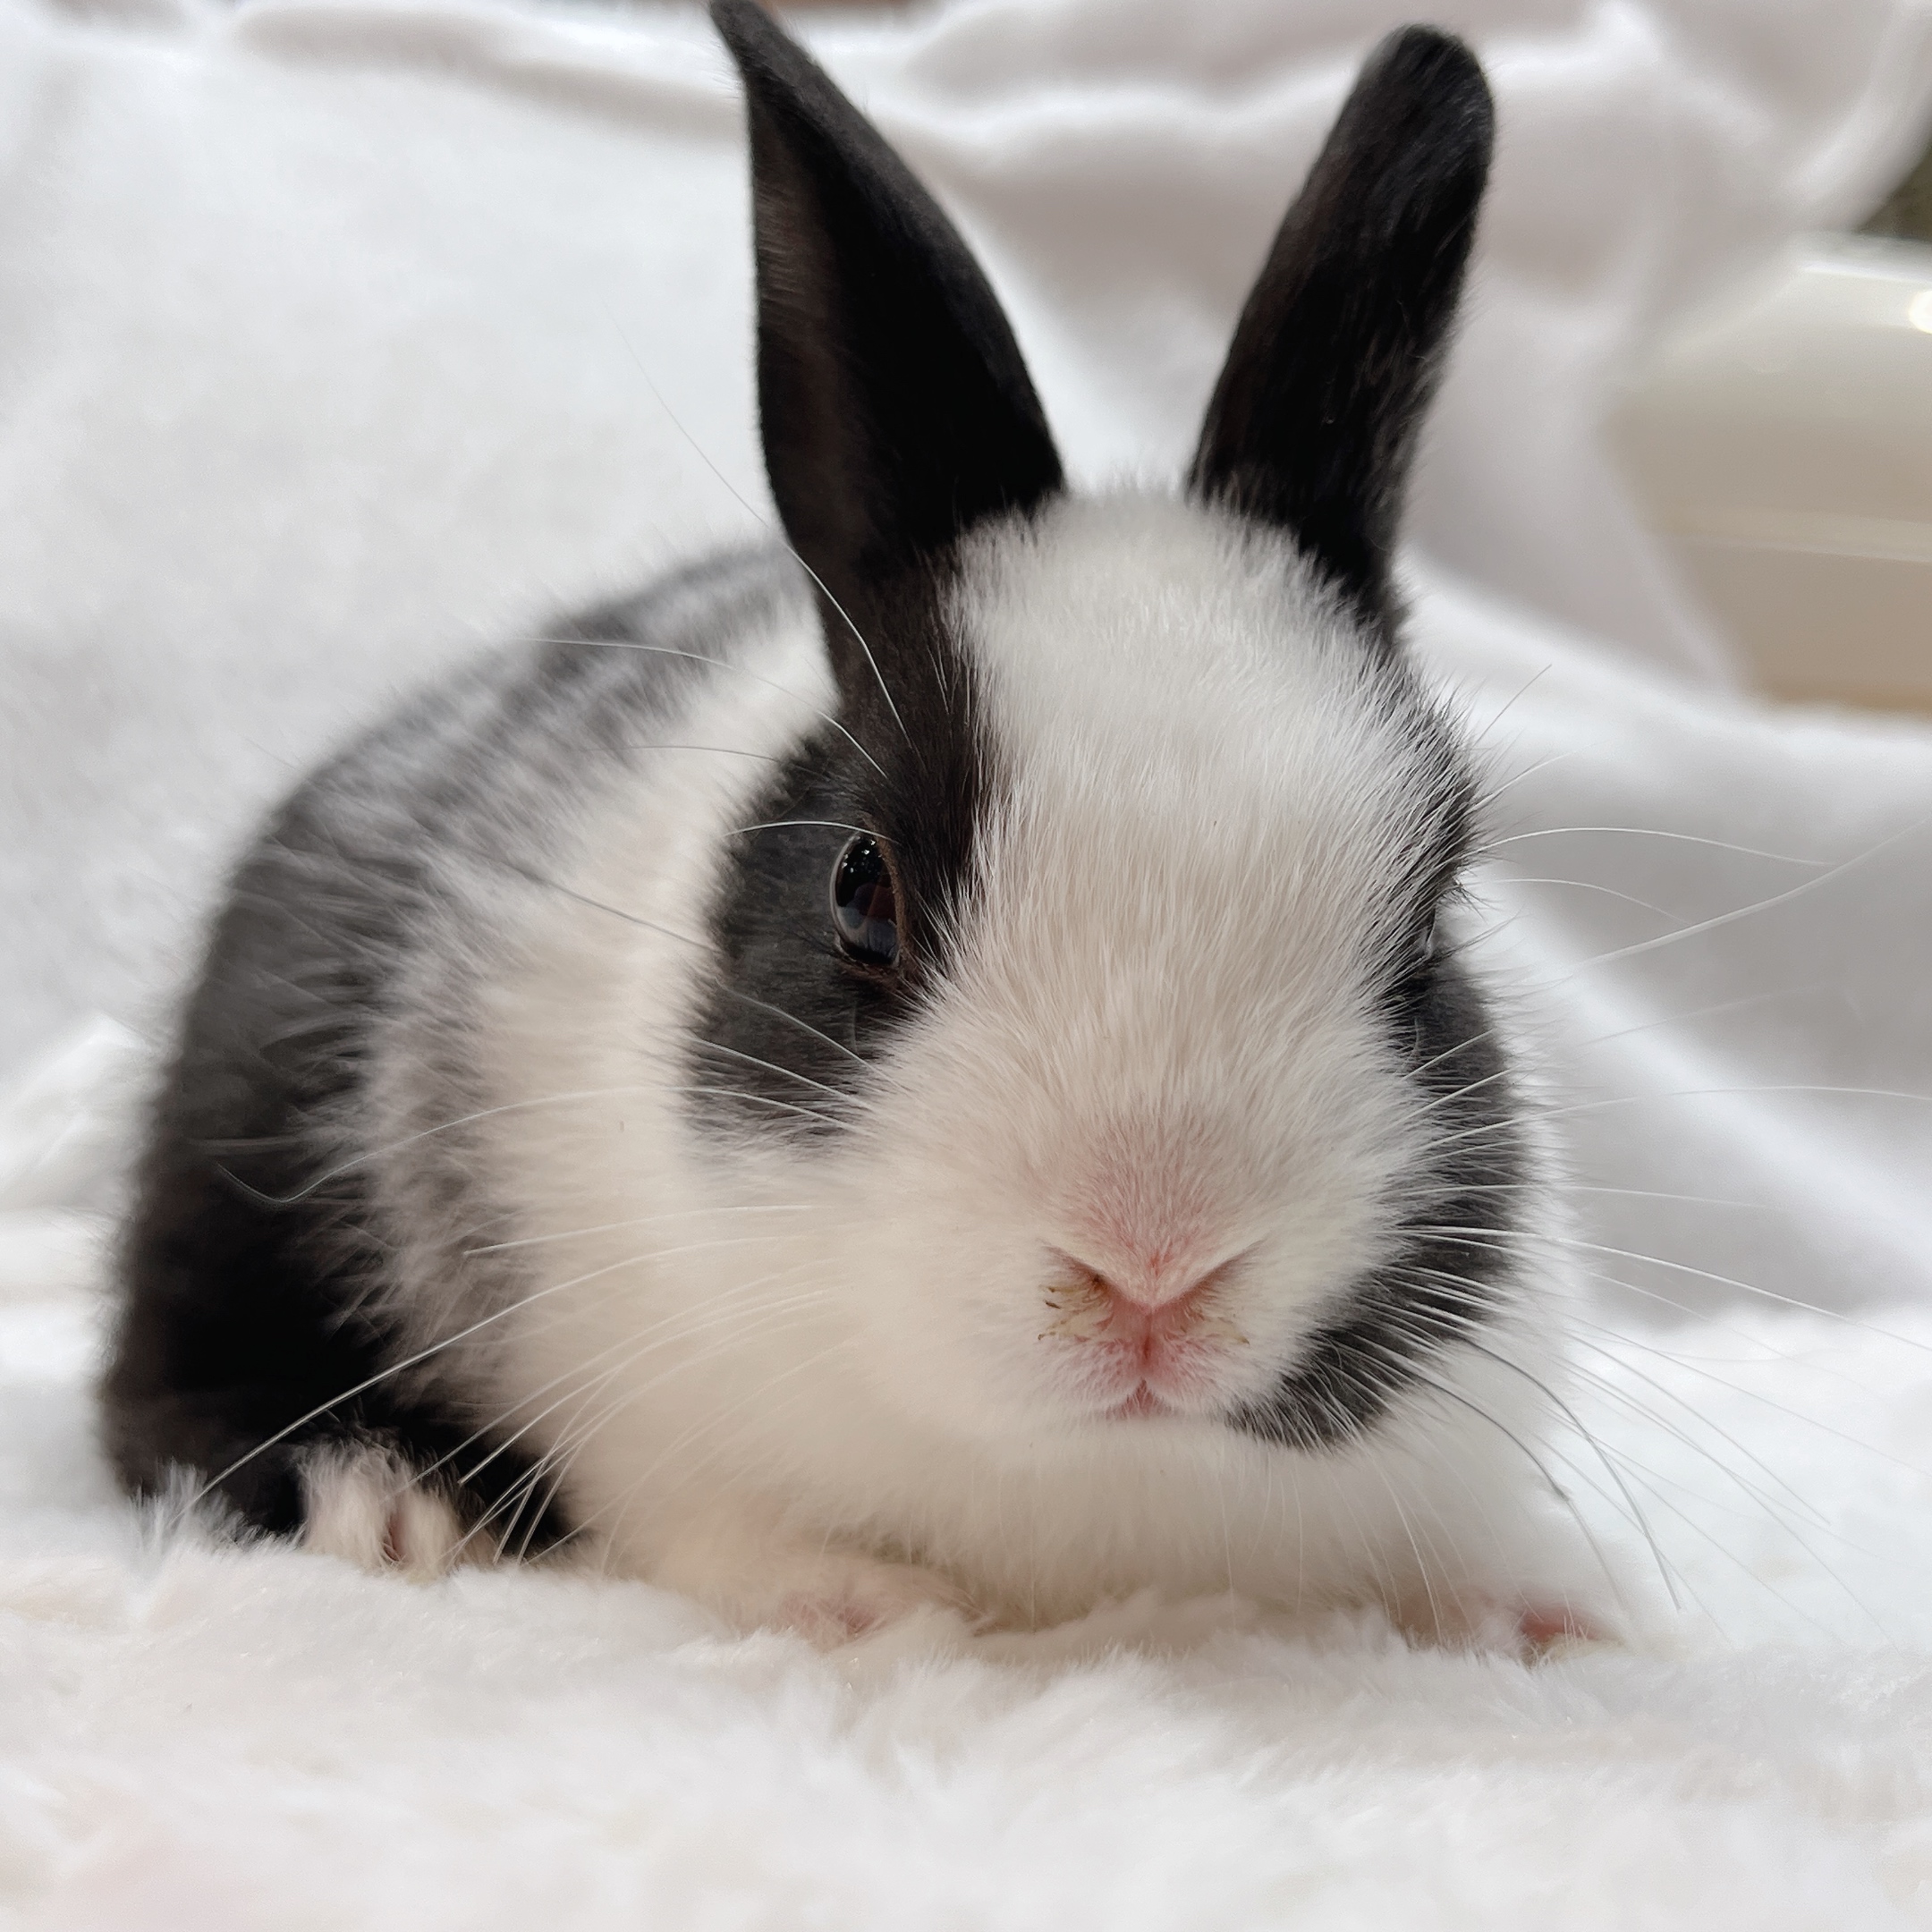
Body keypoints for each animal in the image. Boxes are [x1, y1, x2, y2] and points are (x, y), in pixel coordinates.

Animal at [101, 0, 1616, 1652]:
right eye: (860, 891)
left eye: (1431, 935)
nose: (1152, 1270)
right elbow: (723, 1533)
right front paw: (865, 1604)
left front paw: (1549, 1607)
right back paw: (388, 1505)